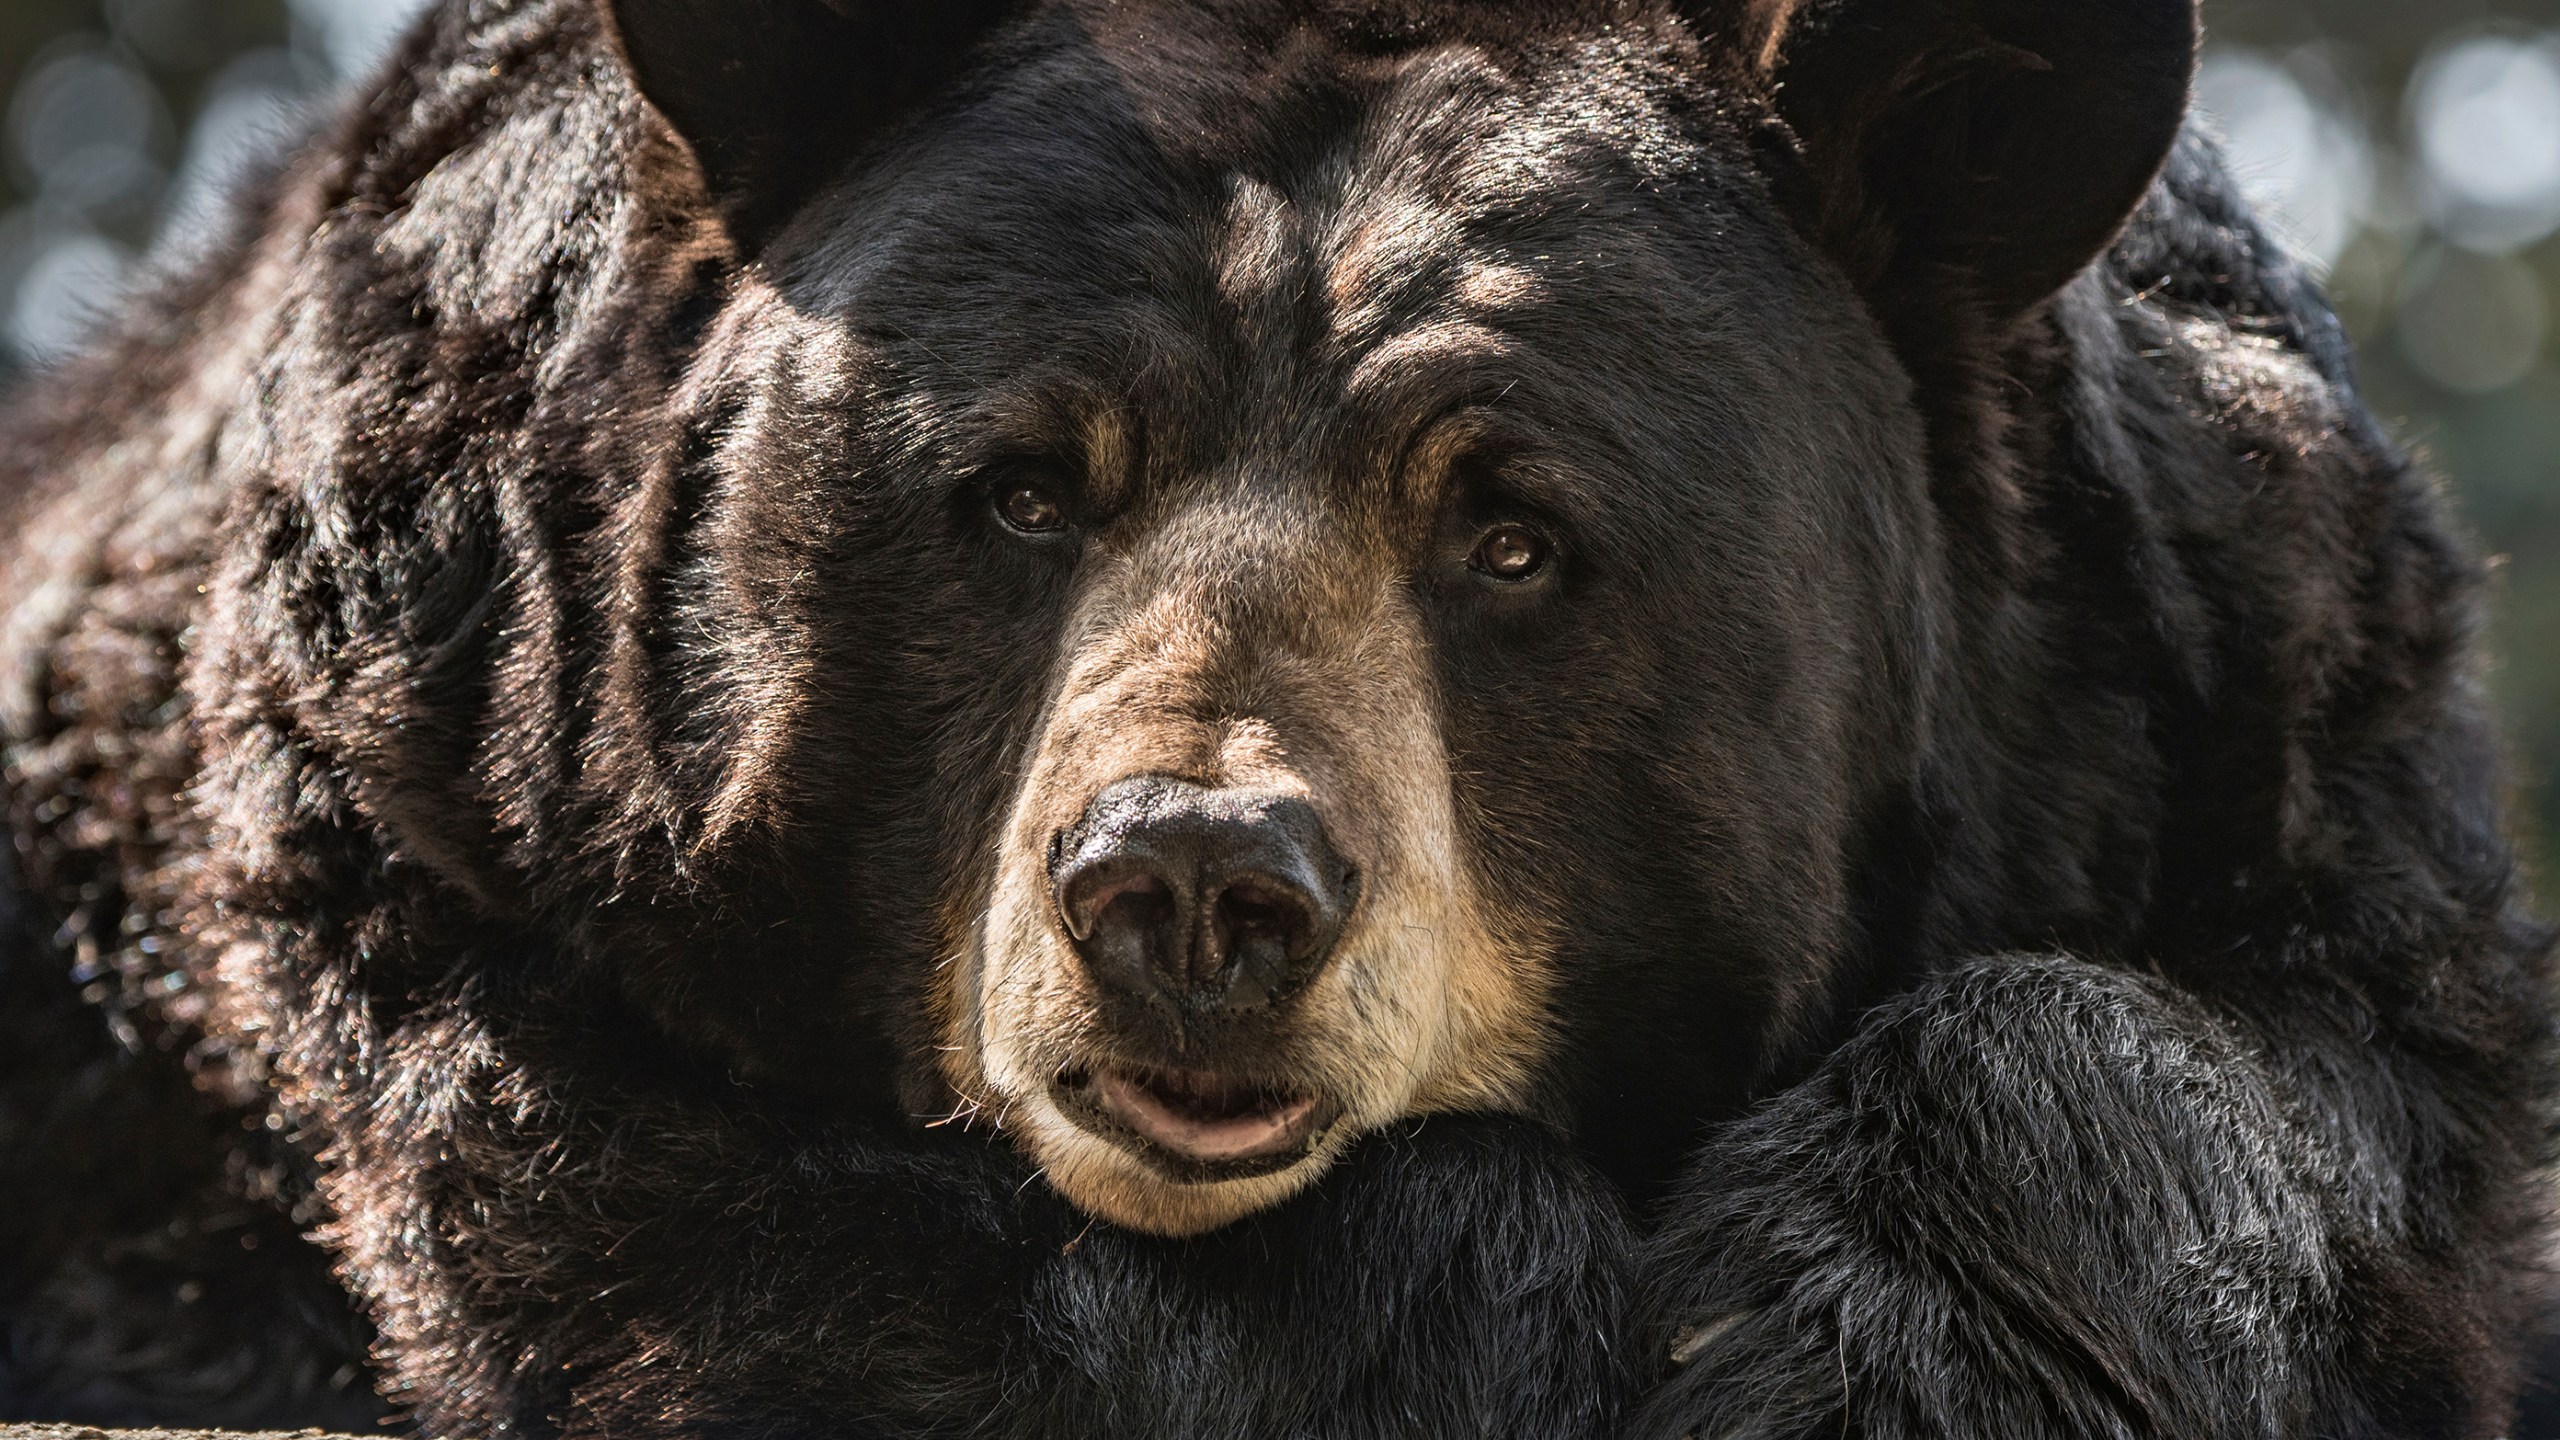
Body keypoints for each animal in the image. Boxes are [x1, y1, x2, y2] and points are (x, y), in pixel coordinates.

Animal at [5, 0, 2560, 1424]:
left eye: (1512, 530)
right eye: (1020, 485)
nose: (1193, 886)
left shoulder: (2233, 689)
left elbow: (2295, 1076)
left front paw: (1841, 1342)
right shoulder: (457, 763)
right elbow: (706, 1231)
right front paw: (1469, 1308)